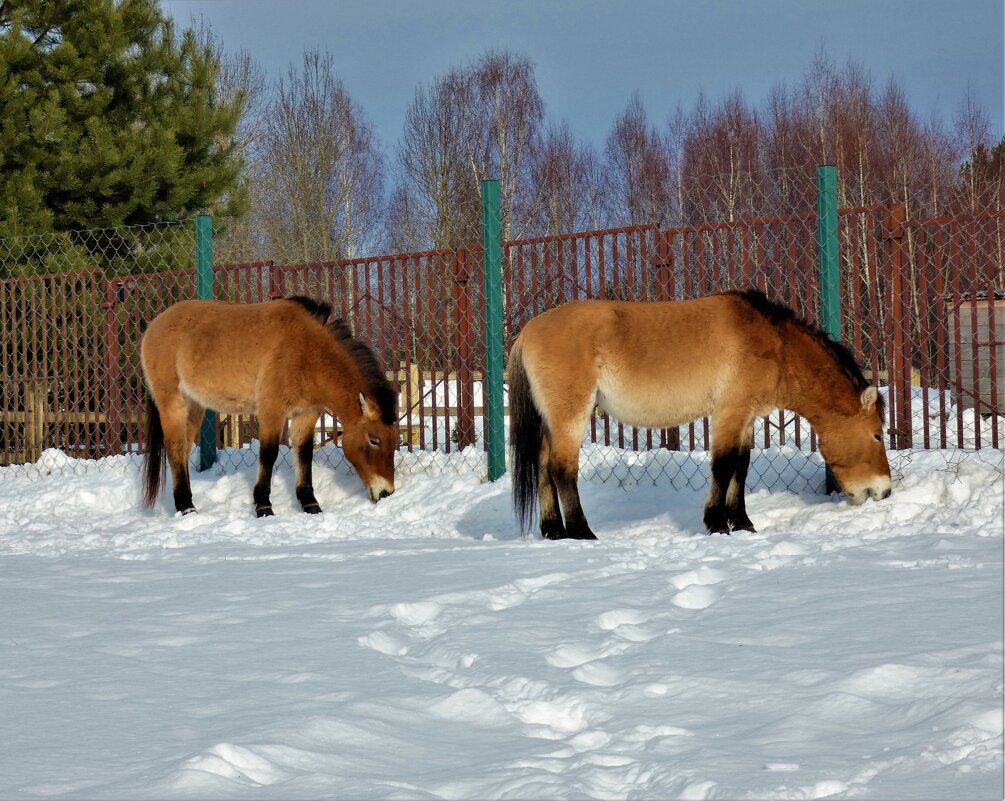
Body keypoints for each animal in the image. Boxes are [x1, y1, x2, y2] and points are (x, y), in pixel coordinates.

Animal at [141, 297, 399, 514]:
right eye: (374, 440)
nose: (386, 493)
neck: (307, 350)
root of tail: (154, 325)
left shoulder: (306, 414)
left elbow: (303, 454)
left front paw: (310, 503)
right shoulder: (272, 411)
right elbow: (268, 454)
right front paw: (263, 505)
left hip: (195, 407)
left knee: (184, 449)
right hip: (173, 404)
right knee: (175, 448)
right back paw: (186, 507)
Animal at [506, 287, 892, 538]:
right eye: (876, 434)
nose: (884, 491)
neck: (772, 345)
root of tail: (527, 331)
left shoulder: (745, 417)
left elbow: (740, 467)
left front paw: (743, 523)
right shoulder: (728, 413)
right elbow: (723, 466)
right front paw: (717, 524)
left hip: (552, 421)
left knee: (543, 466)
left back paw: (554, 531)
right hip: (570, 416)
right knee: (561, 469)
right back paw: (581, 532)